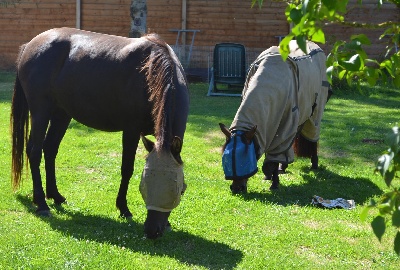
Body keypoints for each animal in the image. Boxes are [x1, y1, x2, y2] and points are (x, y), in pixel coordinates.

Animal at [10, 26, 189, 238]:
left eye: (180, 189)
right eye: (144, 184)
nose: (153, 230)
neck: (152, 72)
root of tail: (29, 45)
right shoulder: (131, 130)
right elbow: (127, 169)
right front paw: (123, 209)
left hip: (62, 114)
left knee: (50, 148)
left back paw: (55, 196)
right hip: (40, 112)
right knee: (35, 151)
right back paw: (42, 204)